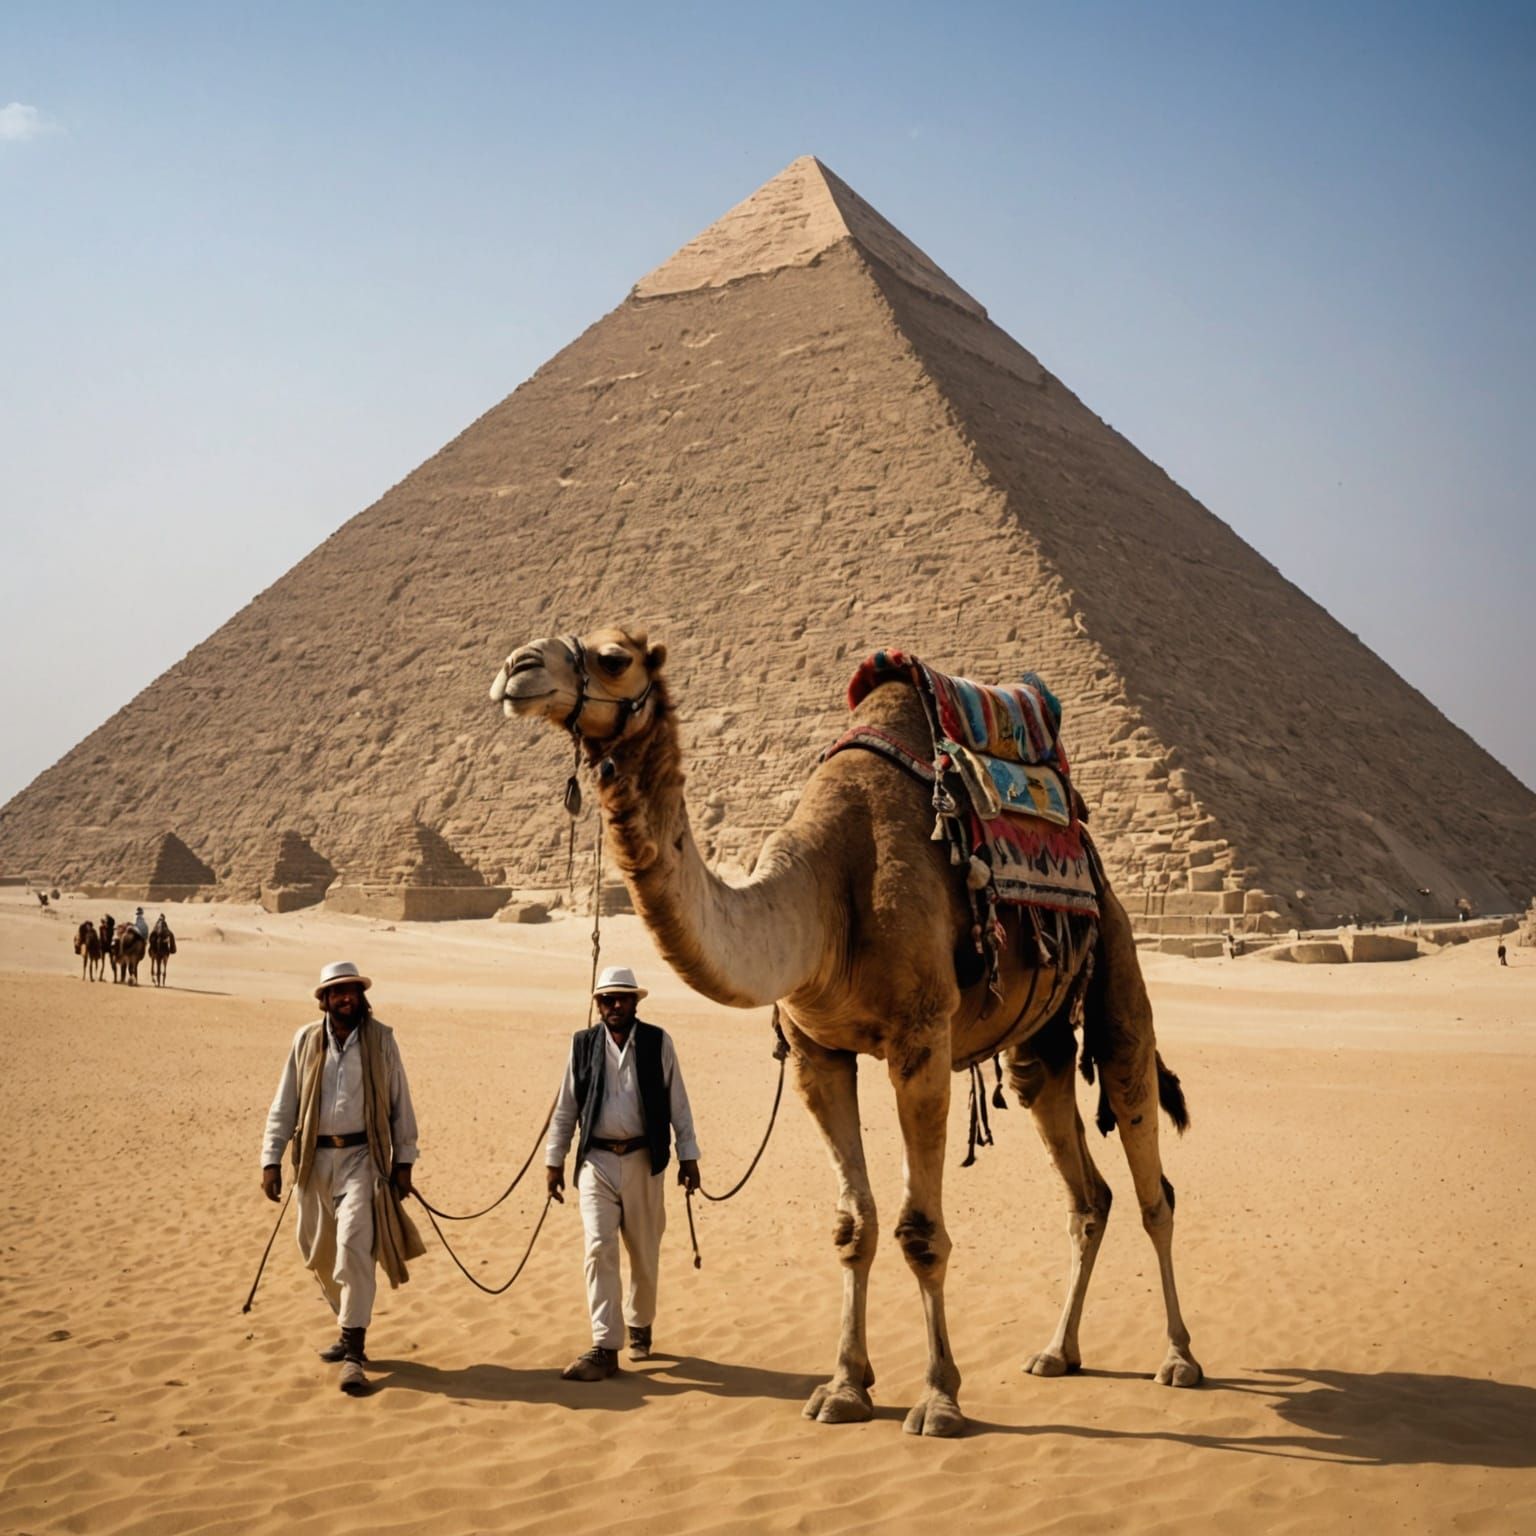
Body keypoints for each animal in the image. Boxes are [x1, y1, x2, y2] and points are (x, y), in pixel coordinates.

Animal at [490, 628, 1200, 1437]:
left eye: (614, 658)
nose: (517, 668)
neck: (823, 893)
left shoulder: (920, 1042)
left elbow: (919, 1229)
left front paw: (939, 1398)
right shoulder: (817, 1052)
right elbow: (852, 1225)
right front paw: (844, 1388)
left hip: (1115, 956)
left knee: (1149, 1172)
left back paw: (1179, 1358)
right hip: (1038, 1044)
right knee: (1085, 1188)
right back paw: (1057, 1351)